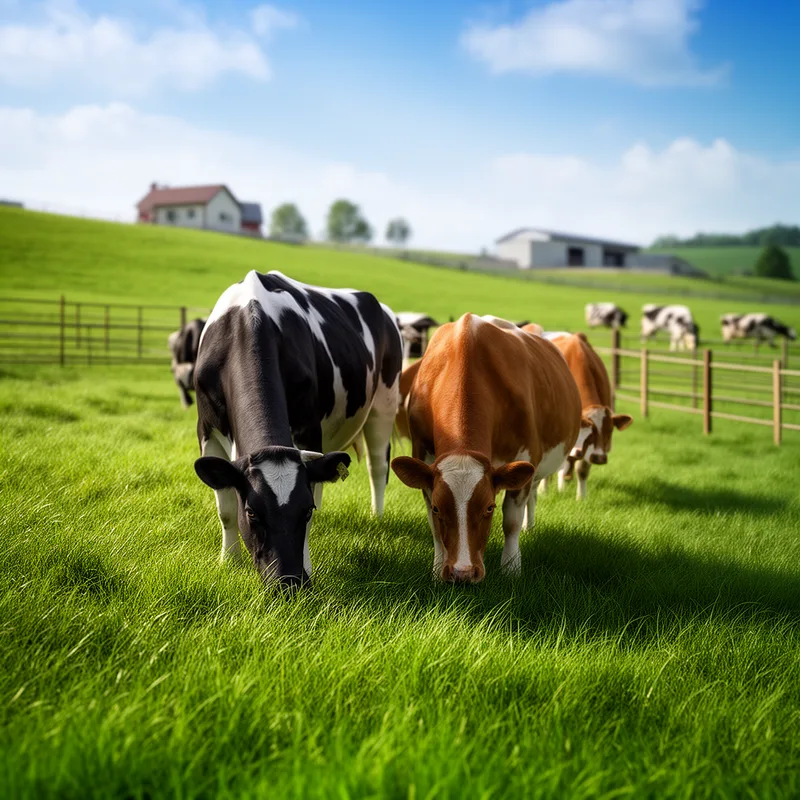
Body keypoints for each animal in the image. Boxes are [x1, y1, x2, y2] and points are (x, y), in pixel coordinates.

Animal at [192, 270, 403, 589]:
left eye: (305, 511)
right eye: (252, 512)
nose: (289, 583)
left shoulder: (309, 430)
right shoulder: (206, 429)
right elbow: (225, 508)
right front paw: (228, 561)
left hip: (384, 403)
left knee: (377, 466)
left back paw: (376, 517)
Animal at [390, 313, 585, 584]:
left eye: (489, 507)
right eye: (439, 507)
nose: (462, 572)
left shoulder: (525, 456)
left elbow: (511, 522)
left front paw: (511, 570)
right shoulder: (423, 457)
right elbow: (434, 526)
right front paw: (437, 571)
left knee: (532, 493)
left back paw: (530, 527)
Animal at [539, 333, 632, 500]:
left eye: (610, 430)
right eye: (592, 431)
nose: (599, 458)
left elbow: (582, 469)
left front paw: (581, 498)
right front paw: (543, 491)